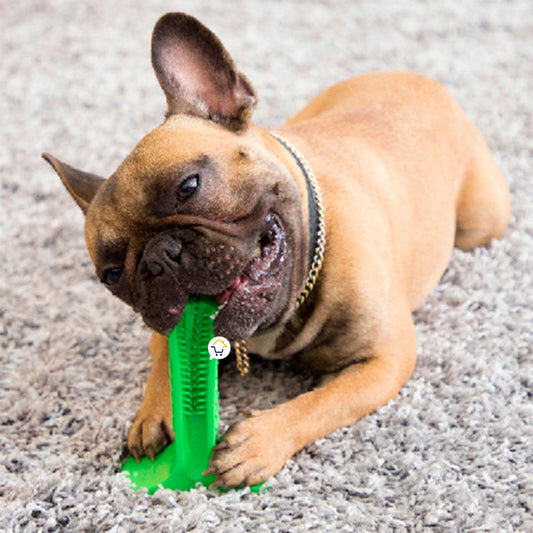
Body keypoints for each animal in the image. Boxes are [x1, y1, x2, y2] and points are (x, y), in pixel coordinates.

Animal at [41, 13, 508, 486]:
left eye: (188, 187)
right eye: (112, 275)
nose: (157, 258)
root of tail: (422, 80)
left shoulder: (383, 362)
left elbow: (322, 403)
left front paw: (258, 442)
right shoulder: (169, 327)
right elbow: (165, 359)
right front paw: (152, 412)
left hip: (482, 224)